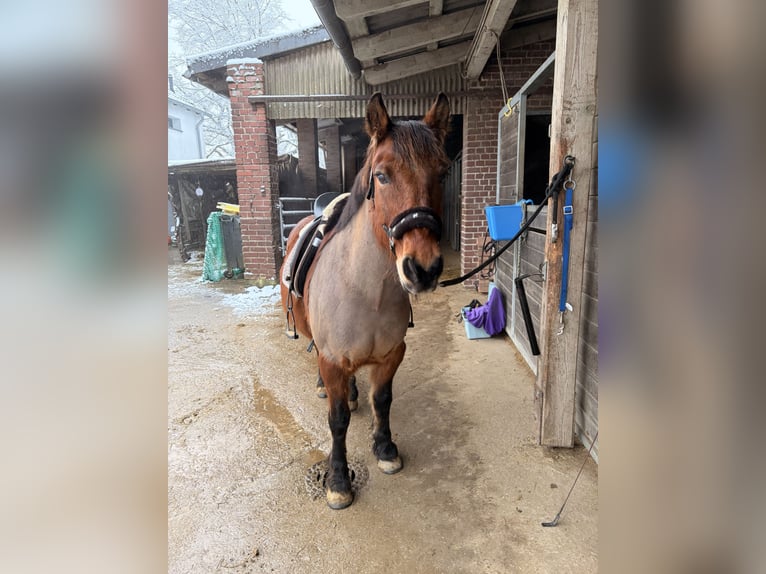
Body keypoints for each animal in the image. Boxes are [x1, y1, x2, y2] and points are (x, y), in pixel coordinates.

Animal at [280, 93, 450, 509]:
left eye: (442, 173)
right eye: (382, 175)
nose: (423, 269)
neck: (365, 292)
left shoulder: (391, 355)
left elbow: (382, 400)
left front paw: (385, 449)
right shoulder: (331, 360)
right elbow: (337, 420)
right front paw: (338, 480)